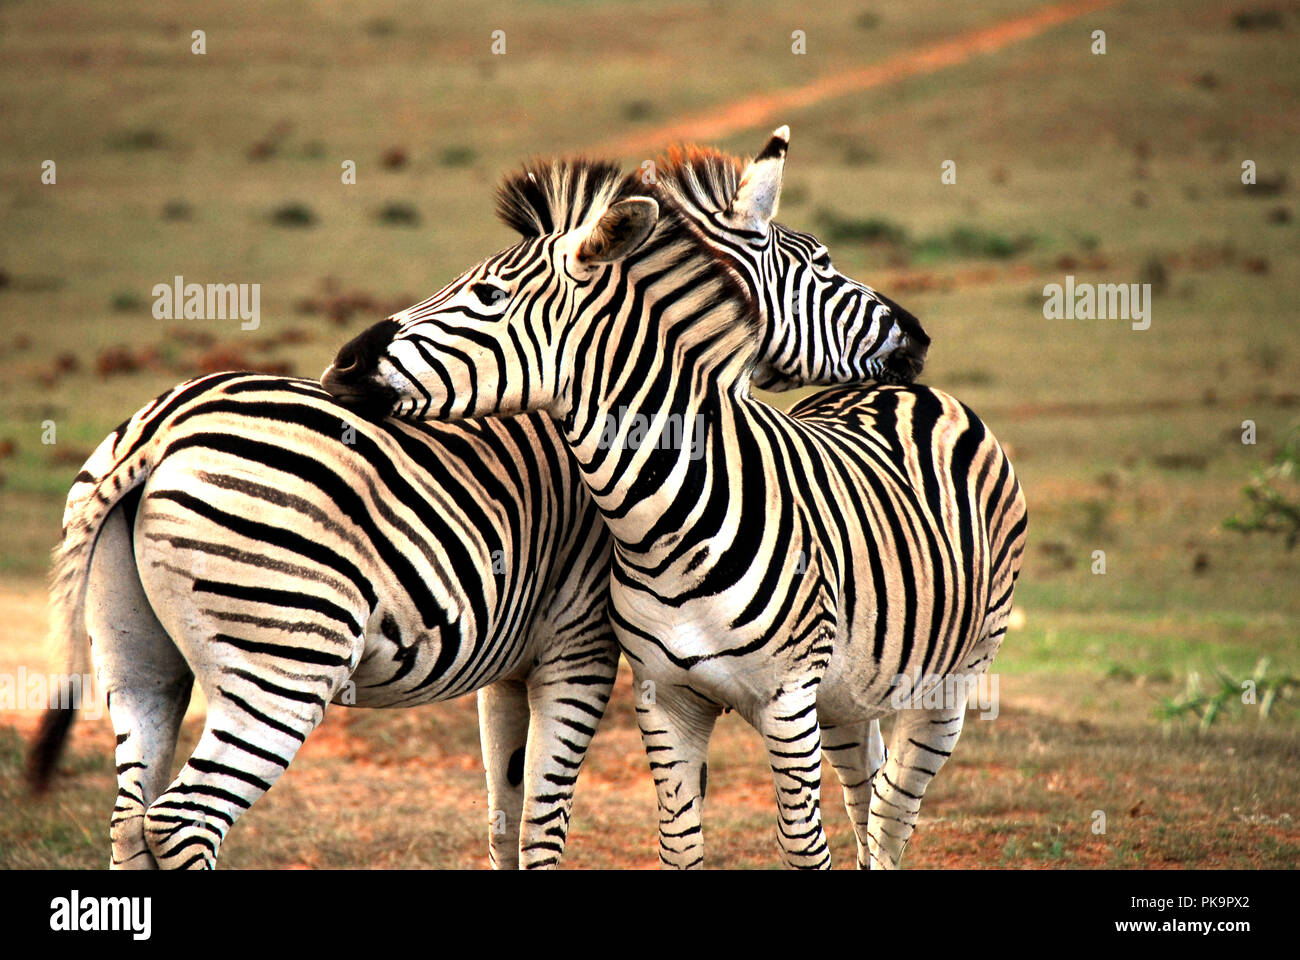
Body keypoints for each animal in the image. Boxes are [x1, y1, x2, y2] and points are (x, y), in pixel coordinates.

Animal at [27, 138, 926, 869]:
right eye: (820, 265)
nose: (917, 336)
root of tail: (164, 426)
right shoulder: (581, 648)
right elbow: (544, 824)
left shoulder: (508, 666)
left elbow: (503, 815)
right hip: (281, 660)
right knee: (183, 821)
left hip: (139, 663)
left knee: (130, 821)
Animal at [326, 156, 1028, 869]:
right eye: (822, 262)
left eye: (489, 297)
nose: (343, 364)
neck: (667, 528)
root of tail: (919, 396)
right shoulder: (663, 697)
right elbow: (673, 843)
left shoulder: (784, 701)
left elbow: (802, 844)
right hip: (850, 693)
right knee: (871, 796)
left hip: (951, 683)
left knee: (891, 810)